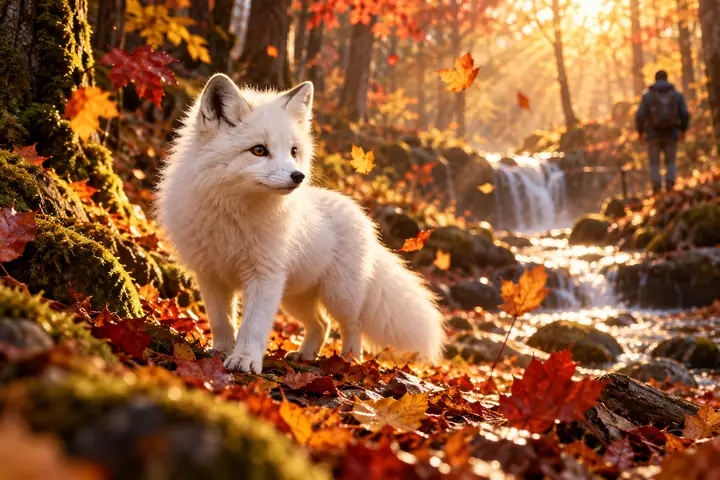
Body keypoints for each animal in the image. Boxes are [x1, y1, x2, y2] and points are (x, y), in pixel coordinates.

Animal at [156, 74, 444, 373]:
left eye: (293, 151)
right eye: (259, 150)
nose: (299, 176)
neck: (233, 214)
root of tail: (362, 216)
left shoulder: (265, 277)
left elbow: (252, 328)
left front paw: (245, 360)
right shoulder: (211, 276)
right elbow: (222, 323)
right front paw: (220, 353)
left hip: (337, 296)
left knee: (353, 325)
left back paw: (349, 361)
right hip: (294, 300)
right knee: (322, 325)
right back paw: (305, 355)